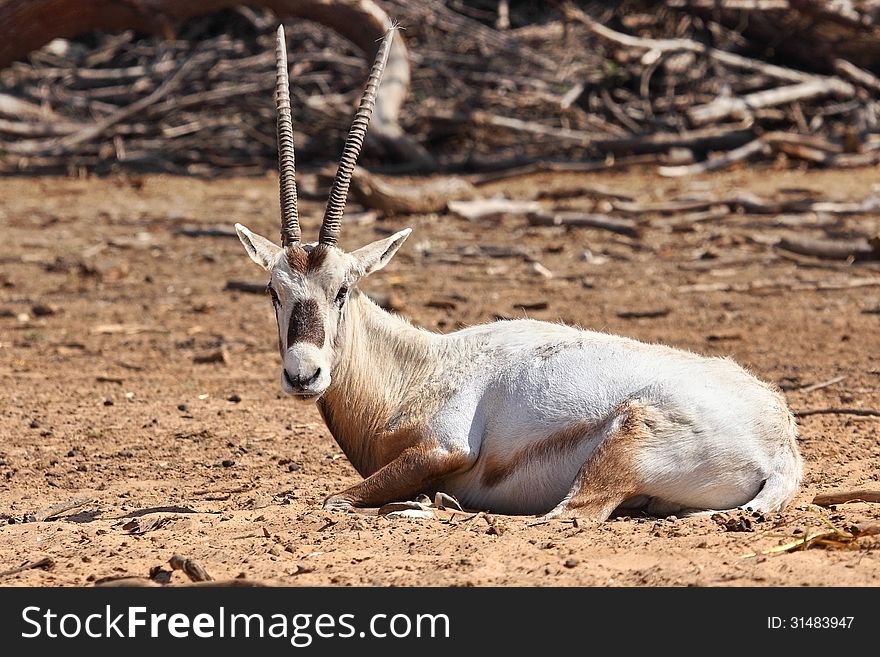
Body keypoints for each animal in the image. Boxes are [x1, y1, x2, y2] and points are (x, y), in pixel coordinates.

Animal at [234, 25, 804, 520]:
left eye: (343, 290)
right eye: (273, 291)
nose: (303, 375)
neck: (419, 366)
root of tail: (781, 447)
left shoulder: (444, 447)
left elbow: (339, 497)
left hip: (621, 441)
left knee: (564, 516)